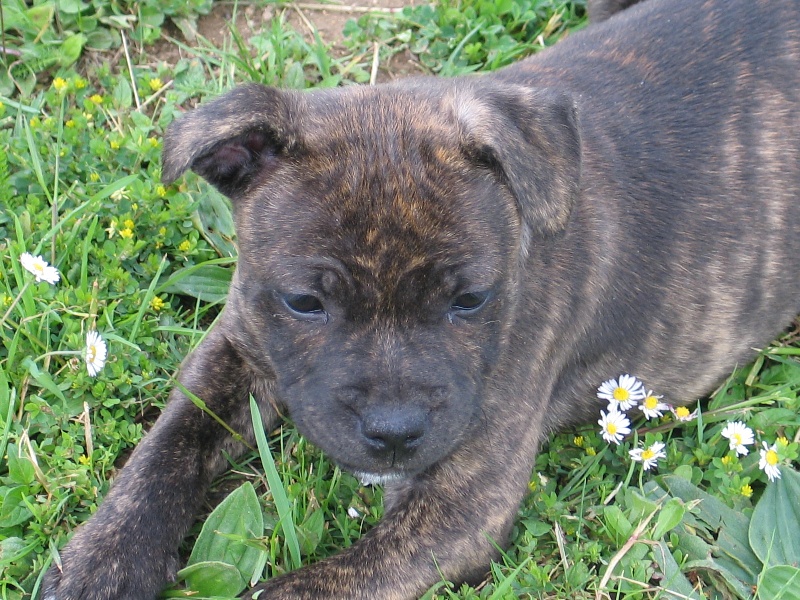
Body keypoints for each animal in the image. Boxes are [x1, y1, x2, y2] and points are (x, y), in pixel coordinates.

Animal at [43, 0, 800, 596]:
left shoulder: (462, 501)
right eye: (305, 303)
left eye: (470, 300)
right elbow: (166, 448)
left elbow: (314, 587)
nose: (394, 431)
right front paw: (103, 560)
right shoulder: (236, 347)